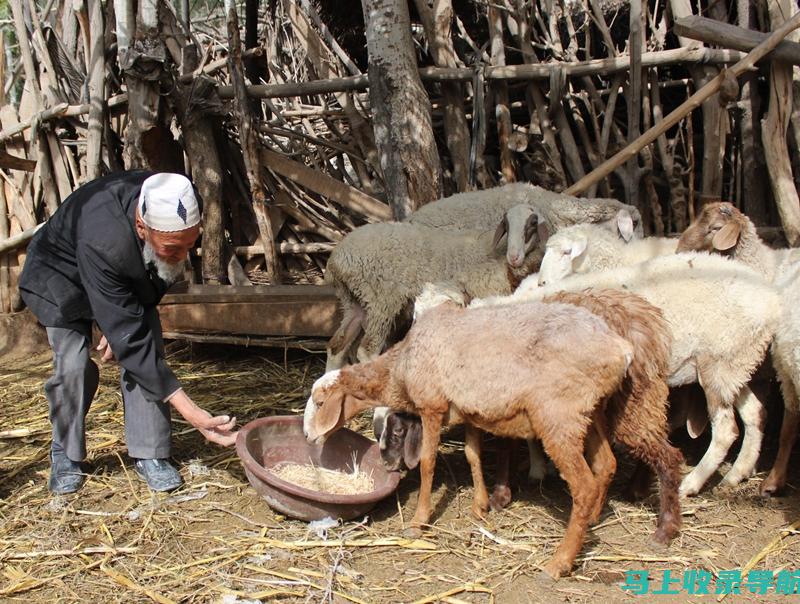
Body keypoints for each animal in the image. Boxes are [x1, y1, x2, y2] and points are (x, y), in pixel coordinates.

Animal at [304, 300, 636, 580]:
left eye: (320, 403)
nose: (307, 436)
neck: (400, 367)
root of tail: (620, 348)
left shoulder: (432, 407)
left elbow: (427, 463)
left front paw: (419, 521)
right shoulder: (469, 412)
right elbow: (472, 454)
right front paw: (480, 506)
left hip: (559, 416)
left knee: (584, 486)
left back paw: (559, 563)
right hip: (591, 411)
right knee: (607, 464)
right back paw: (591, 520)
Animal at [476, 252, 780, 498]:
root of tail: (770, 300)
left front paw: (541, 468)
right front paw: (539, 467)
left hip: (717, 362)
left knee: (726, 429)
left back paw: (690, 484)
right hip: (736, 363)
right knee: (755, 413)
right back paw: (737, 473)